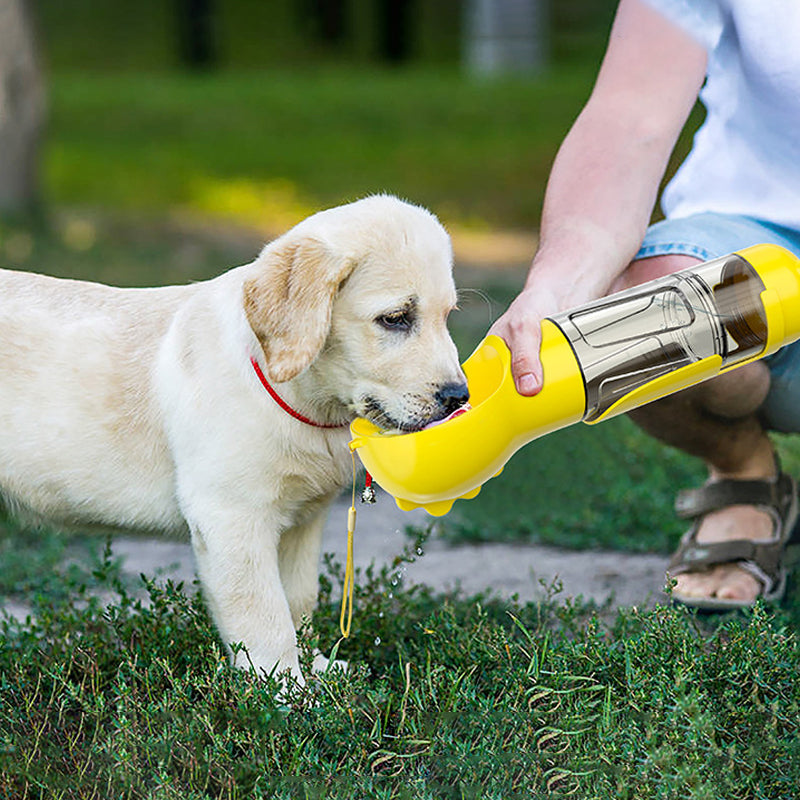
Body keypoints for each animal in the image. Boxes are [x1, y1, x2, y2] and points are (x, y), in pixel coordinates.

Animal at [0, 197, 468, 684]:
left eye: (447, 316)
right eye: (395, 319)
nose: (459, 397)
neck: (301, 400)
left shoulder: (303, 521)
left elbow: (298, 600)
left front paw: (315, 668)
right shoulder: (231, 517)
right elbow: (264, 615)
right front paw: (284, 688)